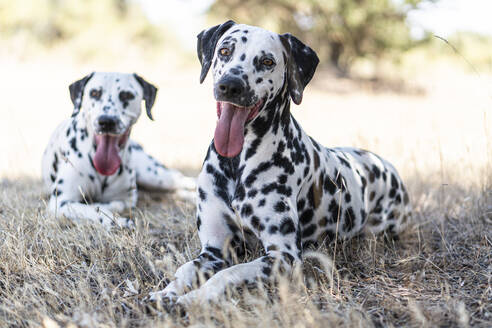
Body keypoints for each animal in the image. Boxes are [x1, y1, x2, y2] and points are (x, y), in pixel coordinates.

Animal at [41, 72, 196, 228]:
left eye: (126, 95)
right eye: (94, 93)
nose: (107, 121)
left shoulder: (128, 198)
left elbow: (118, 204)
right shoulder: (60, 202)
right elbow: (96, 209)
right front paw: (117, 220)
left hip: (155, 176)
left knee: (183, 181)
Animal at [150, 21, 412, 306]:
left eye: (267, 61)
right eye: (224, 51)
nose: (230, 85)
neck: (238, 164)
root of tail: (385, 165)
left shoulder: (282, 256)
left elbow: (229, 274)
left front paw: (194, 299)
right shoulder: (215, 249)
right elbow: (185, 269)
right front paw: (166, 293)